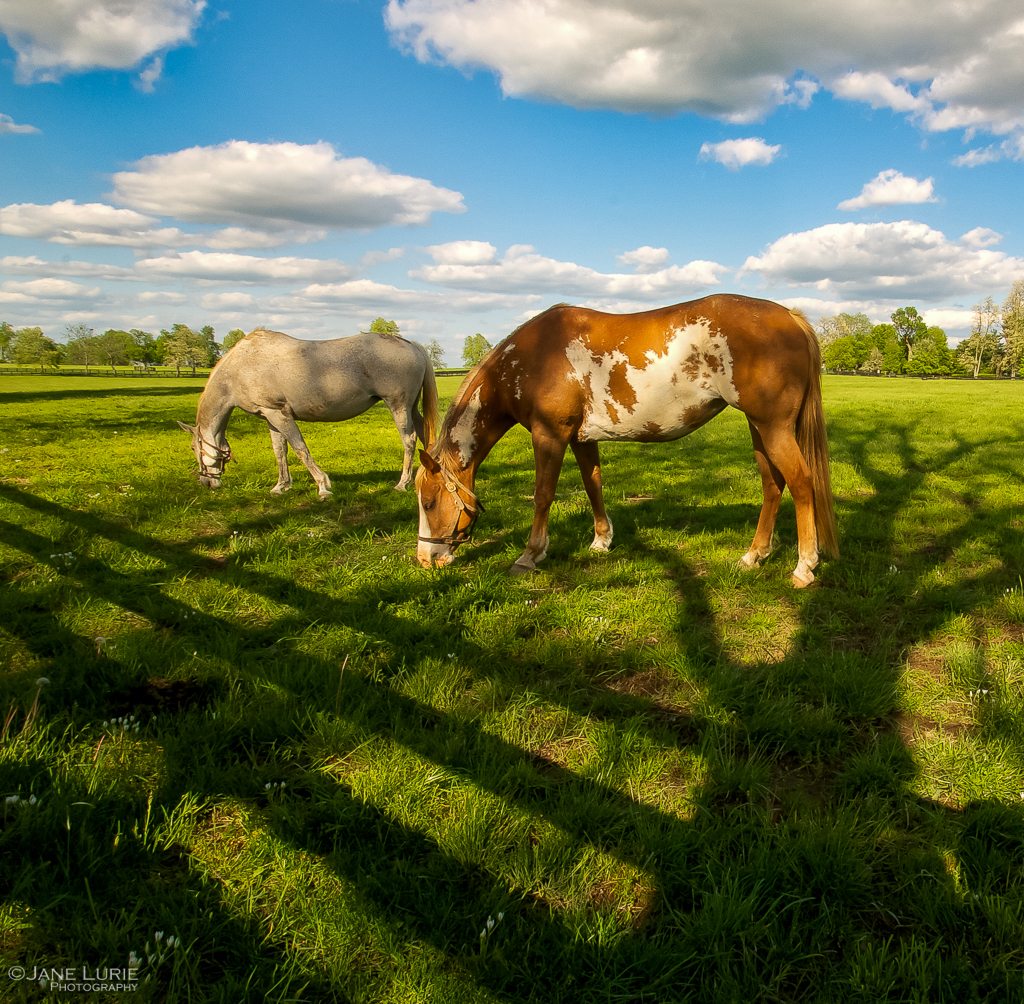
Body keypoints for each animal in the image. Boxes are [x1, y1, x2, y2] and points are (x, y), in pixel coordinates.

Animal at [180, 329, 436, 497]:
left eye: (194, 448)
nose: (205, 483)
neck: (240, 369)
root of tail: (411, 345)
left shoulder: (279, 414)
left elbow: (300, 449)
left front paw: (322, 486)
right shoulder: (271, 417)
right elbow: (280, 452)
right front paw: (281, 486)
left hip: (399, 406)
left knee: (409, 440)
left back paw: (402, 483)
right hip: (411, 407)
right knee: (424, 434)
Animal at [415, 293, 839, 590]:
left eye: (429, 501)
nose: (425, 559)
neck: (532, 357)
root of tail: (790, 317)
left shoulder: (549, 434)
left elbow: (543, 495)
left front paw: (530, 555)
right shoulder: (580, 438)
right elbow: (593, 485)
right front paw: (601, 541)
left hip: (773, 428)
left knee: (802, 484)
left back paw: (804, 567)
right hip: (759, 428)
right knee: (773, 485)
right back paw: (754, 556)